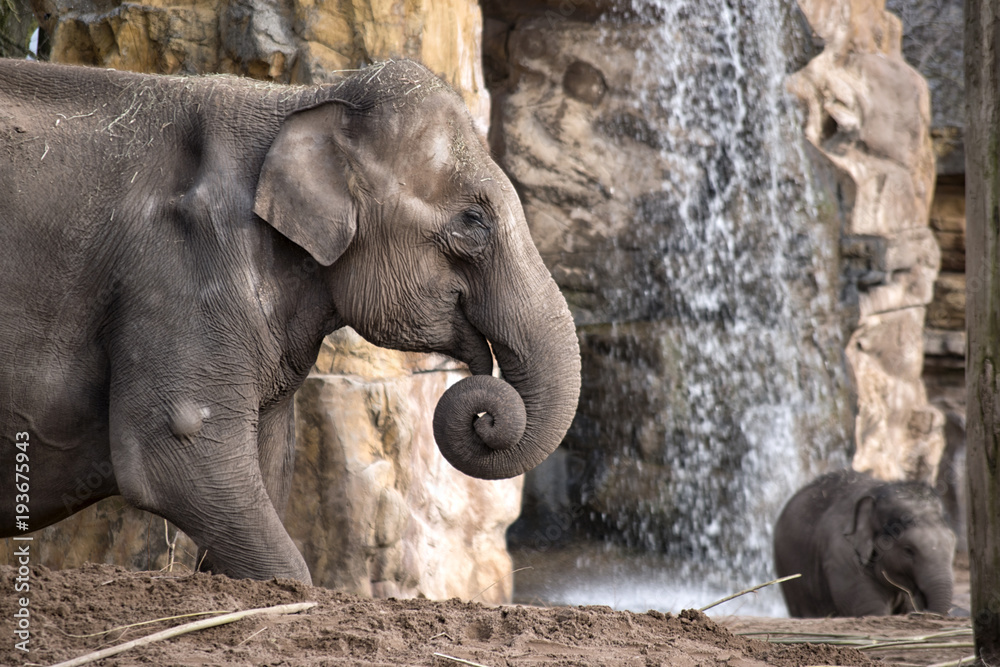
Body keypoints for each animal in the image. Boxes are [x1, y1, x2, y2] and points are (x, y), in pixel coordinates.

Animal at [0, 60, 584, 588]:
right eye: (474, 221)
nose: (487, 417)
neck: (301, 101)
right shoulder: (178, 266)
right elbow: (177, 452)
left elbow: (269, 462)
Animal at [768, 470, 956, 616]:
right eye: (908, 550)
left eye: (952, 544)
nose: (924, 610)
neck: (877, 494)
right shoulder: (842, 559)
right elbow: (871, 611)